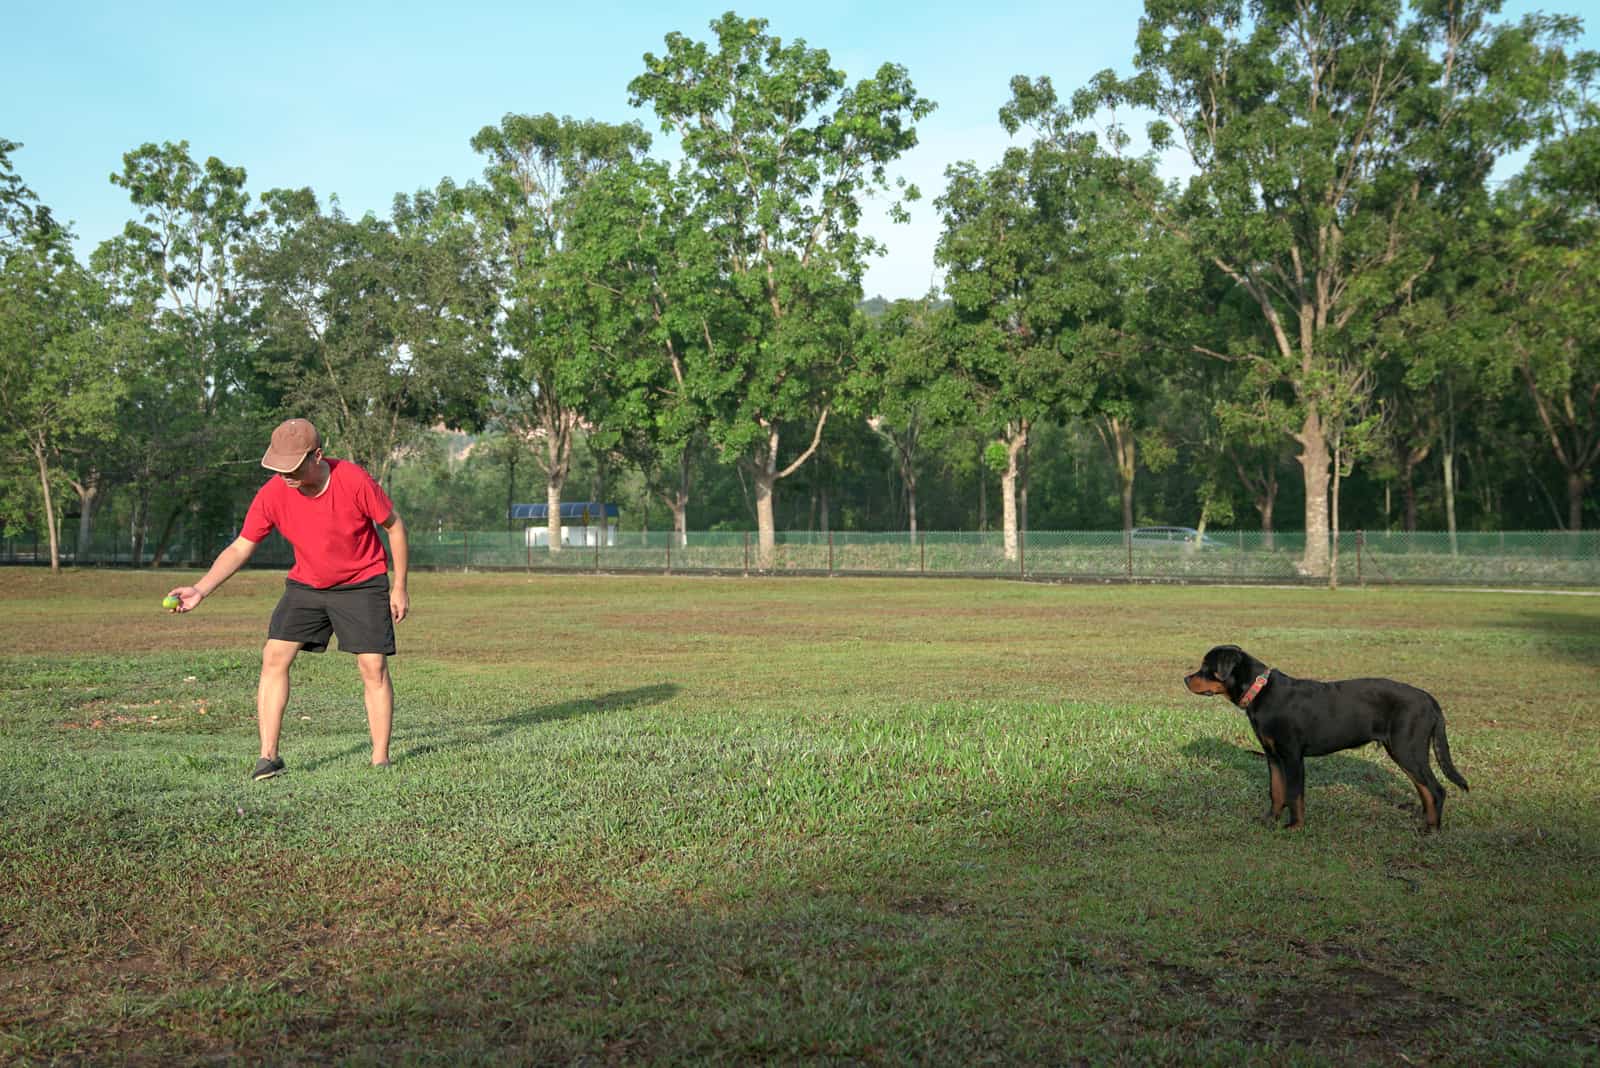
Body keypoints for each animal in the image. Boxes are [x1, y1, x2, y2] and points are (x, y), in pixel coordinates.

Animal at [1184, 645, 1465, 831]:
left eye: (1207, 668)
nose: (1186, 679)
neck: (1260, 691)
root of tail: (1429, 699)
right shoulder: (1273, 756)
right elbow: (1276, 791)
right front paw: (1269, 820)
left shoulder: (1292, 756)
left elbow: (1294, 794)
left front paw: (1294, 827)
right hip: (1405, 750)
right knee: (1424, 789)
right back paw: (1426, 821)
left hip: (1407, 748)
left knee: (1436, 789)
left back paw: (1432, 829)